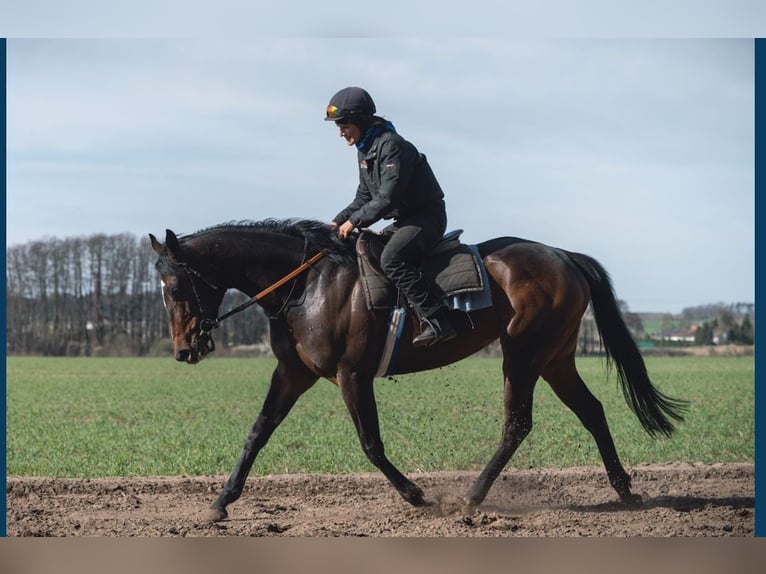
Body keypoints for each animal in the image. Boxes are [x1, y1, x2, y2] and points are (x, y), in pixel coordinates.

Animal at [150, 218, 688, 524]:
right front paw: (221, 501)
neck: (306, 285)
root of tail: (563, 256)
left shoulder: (351, 375)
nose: (184, 351)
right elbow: (257, 433)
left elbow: (370, 444)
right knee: (591, 411)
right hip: (555, 358)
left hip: (523, 353)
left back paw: (471, 497)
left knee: (518, 423)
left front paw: (416, 495)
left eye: (175, 287)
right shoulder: (292, 374)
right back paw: (624, 491)